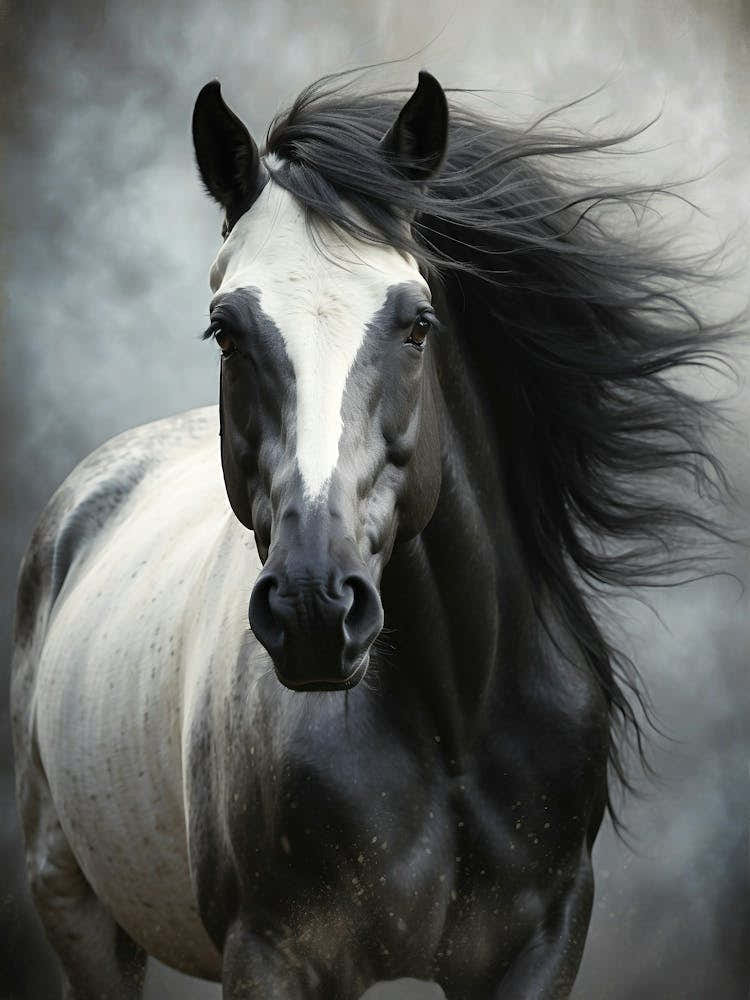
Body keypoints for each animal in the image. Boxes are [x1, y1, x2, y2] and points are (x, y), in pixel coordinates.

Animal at [11, 69, 732, 999]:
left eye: (417, 322)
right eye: (225, 330)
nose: (315, 608)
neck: (456, 726)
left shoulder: (544, 945)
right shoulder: (275, 955)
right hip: (79, 913)